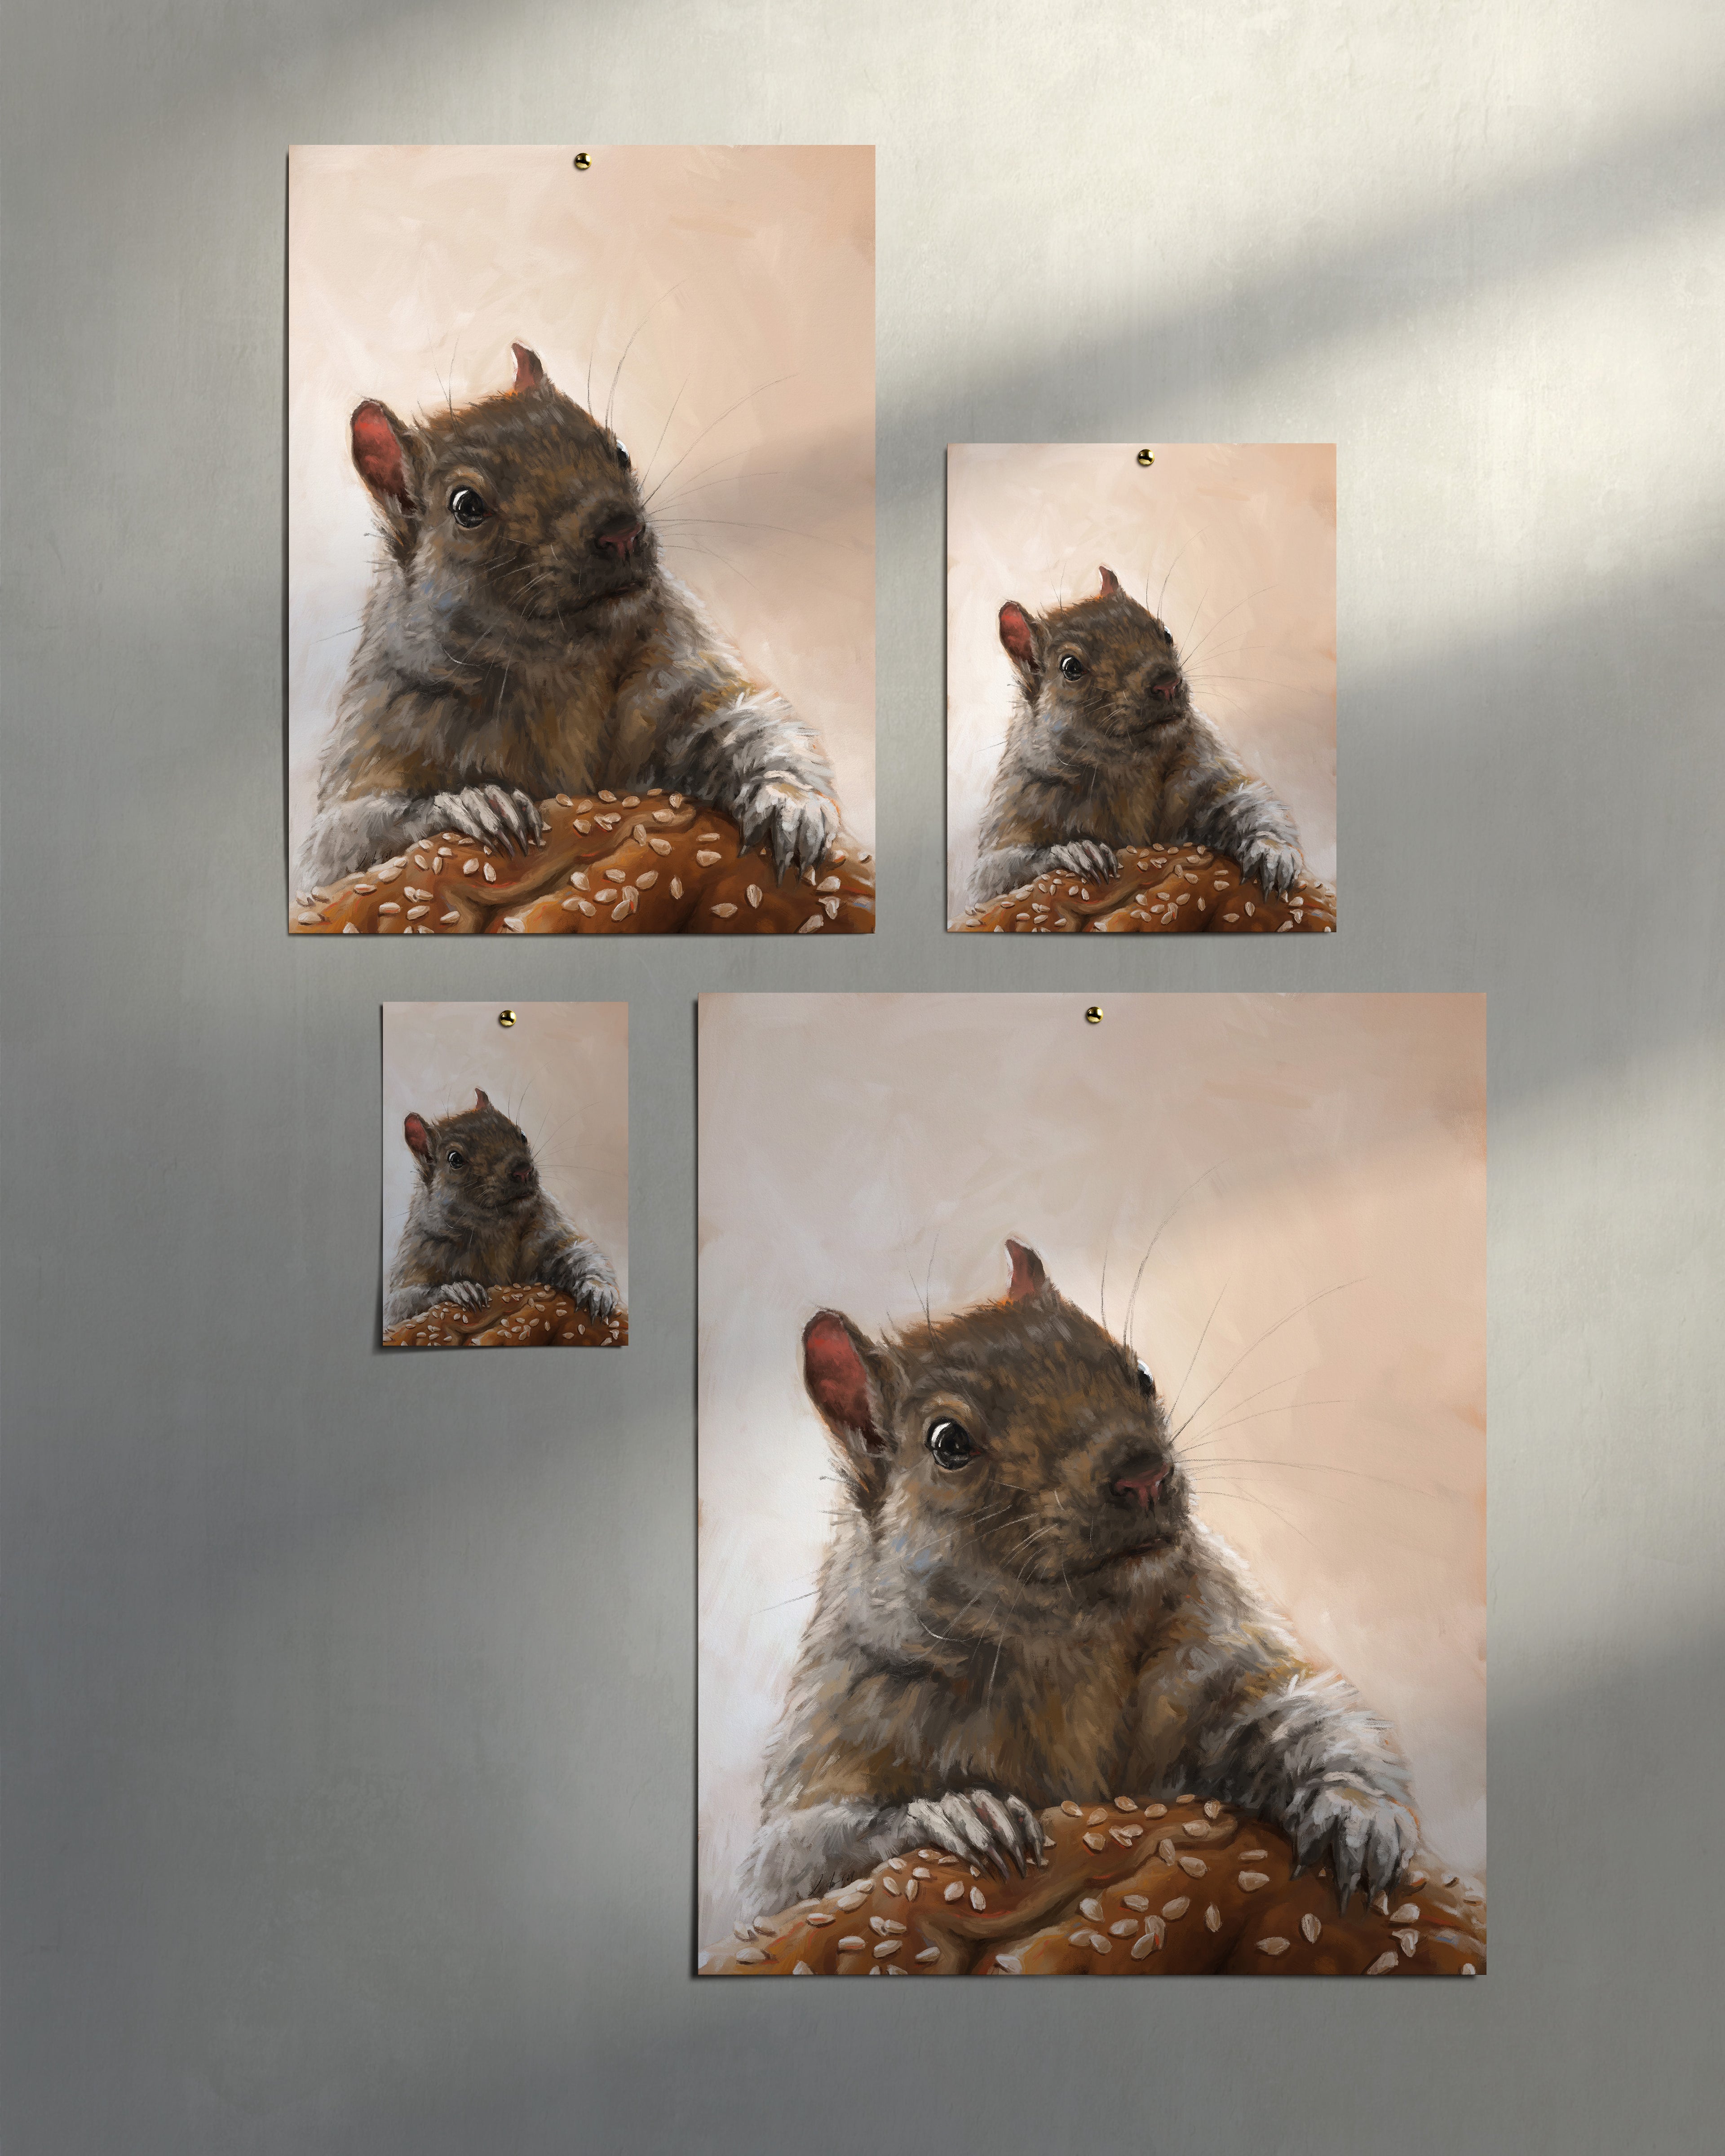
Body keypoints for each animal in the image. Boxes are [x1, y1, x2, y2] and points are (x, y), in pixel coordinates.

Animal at [297, 343, 840, 890]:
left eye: (619, 450)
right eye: (466, 506)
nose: (621, 531)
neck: (562, 665)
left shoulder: (679, 676)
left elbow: (753, 724)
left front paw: (790, 803)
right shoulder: (384, 726)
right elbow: (342, 843)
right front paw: (474, 803)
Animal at [384, 1089, 619, 1328]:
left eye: (522, 1135)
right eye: (455, 1159)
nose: (523, 1170)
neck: (497, 1229)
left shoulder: (549, 1232)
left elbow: (580, 1254)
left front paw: (596, 1289)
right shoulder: (418, 1255)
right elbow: (401, 1306)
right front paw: (458, 1289)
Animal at [740, 1239, 1416, 1919]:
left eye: (1141, 1373)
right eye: (948, 1442)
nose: (1144, 1474)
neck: (1069, 1641)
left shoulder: (1215, 1654)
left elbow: (1306, 1714)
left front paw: (1356, 1813)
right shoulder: (844, 1716)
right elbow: (791, 1863)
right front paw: (959, 1811)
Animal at [968, 568, 1304, 907]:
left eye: (1166, 633)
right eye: (1071, 667)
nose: (1168, 683)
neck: (1130, 766)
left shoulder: (1204, 771)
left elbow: (1248, 802)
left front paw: (1272, 852)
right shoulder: (1020, 803)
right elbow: (994, 877)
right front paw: (1075, 851)